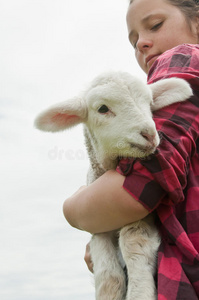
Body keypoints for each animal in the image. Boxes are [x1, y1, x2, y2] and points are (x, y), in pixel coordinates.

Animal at [34, 72, 193, 300]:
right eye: (102, 108)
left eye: (149, 103)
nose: (150, 135)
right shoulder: (96, 224)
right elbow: (108, 274)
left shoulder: (138, 213)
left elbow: (133, 243)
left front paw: (140, 293)